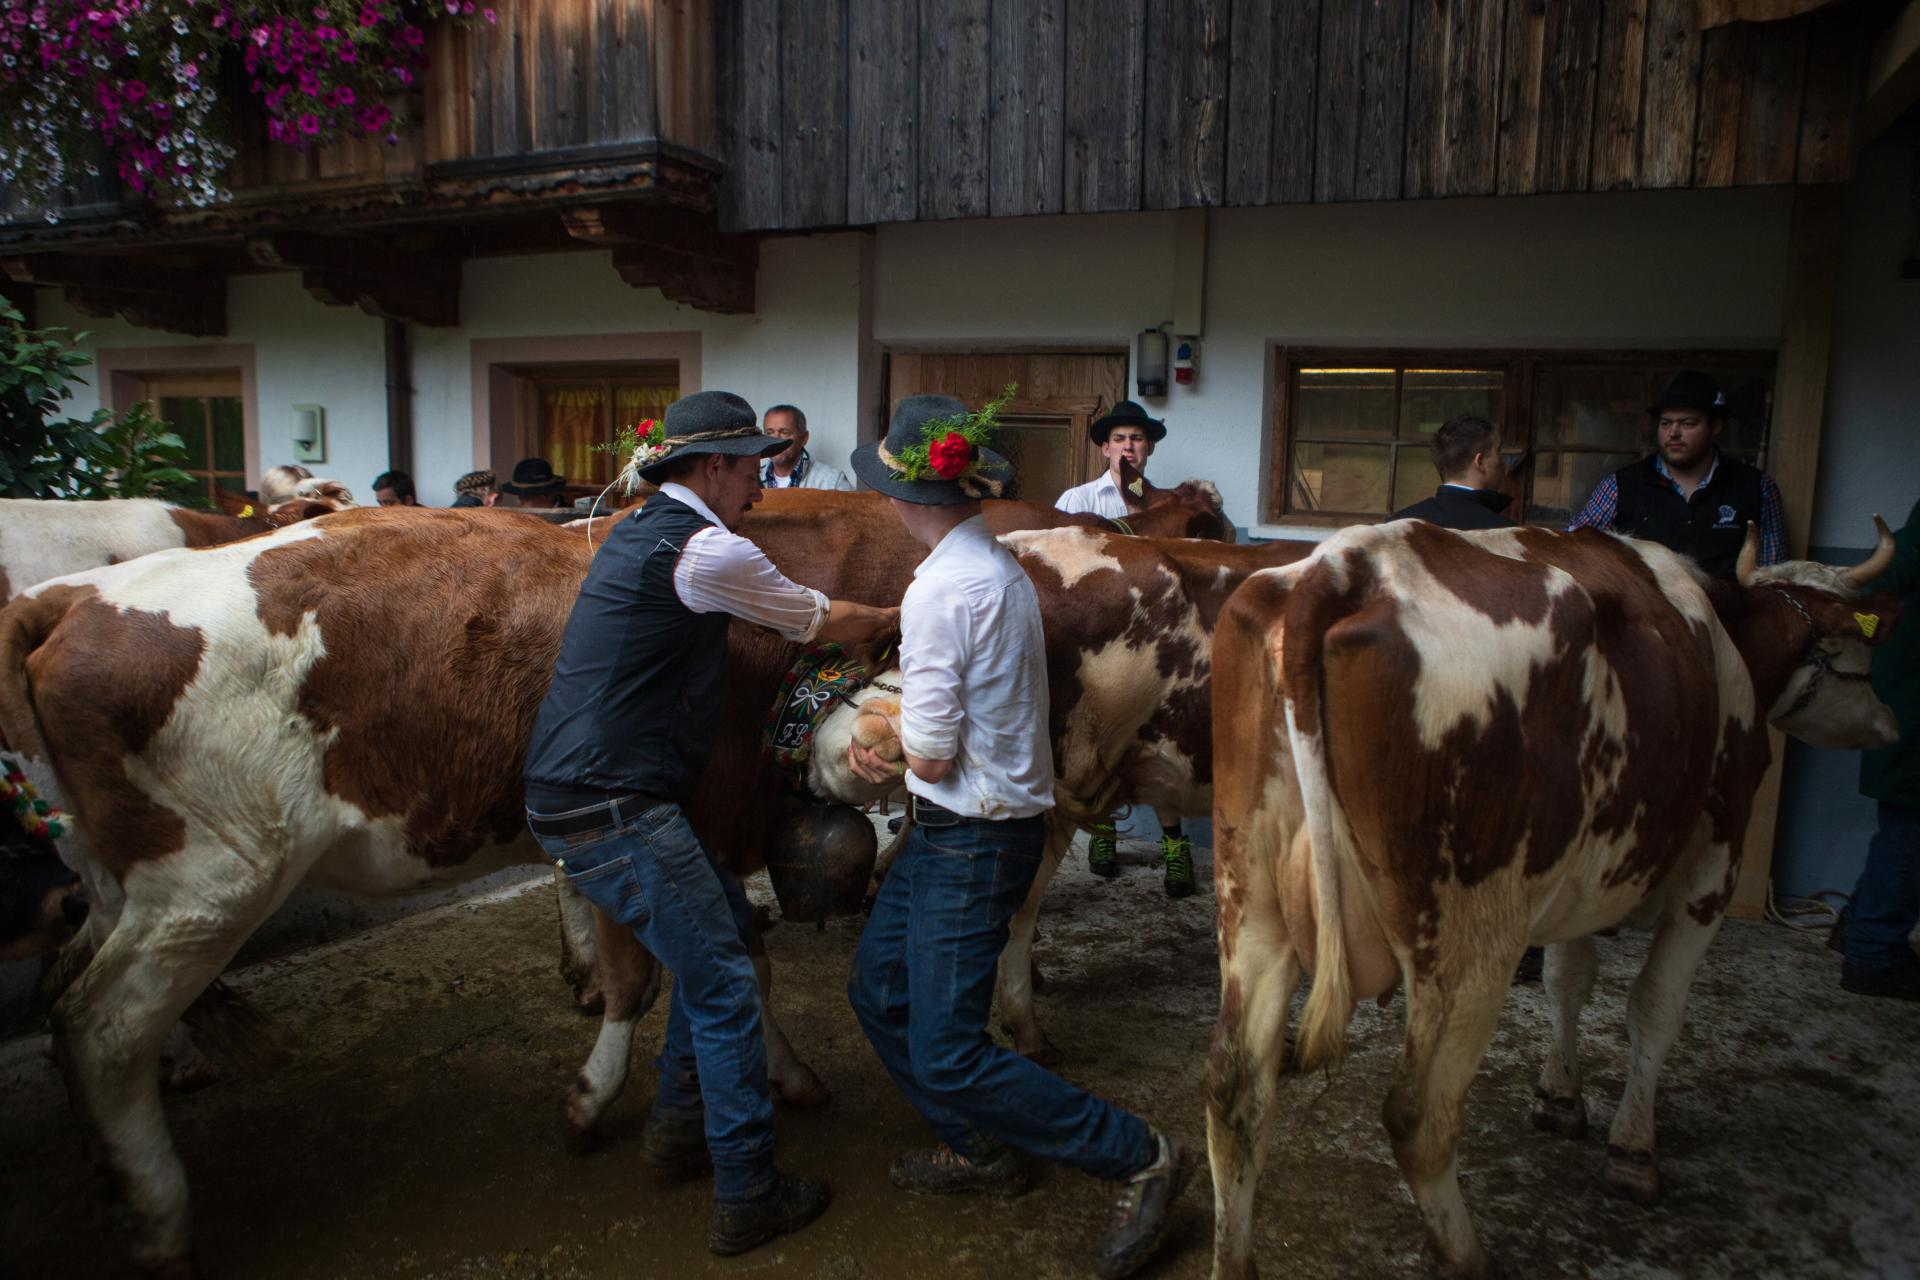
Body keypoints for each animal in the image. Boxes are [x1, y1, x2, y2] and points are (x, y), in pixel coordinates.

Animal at [1205, 514, 1896, 1274]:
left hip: (1252, 906)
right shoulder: (1714, 863)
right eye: (1861, 654)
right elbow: (1654, 1009)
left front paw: (1562, 1097)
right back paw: (1467, 1255)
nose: (1890, 728)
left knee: (1236, 1092)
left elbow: (1569, 979)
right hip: (1471, 937)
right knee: (1419, 1116)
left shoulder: (1583, 878)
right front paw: (1633, 1148)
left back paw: (1234, 1258)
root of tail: (1346, 562)